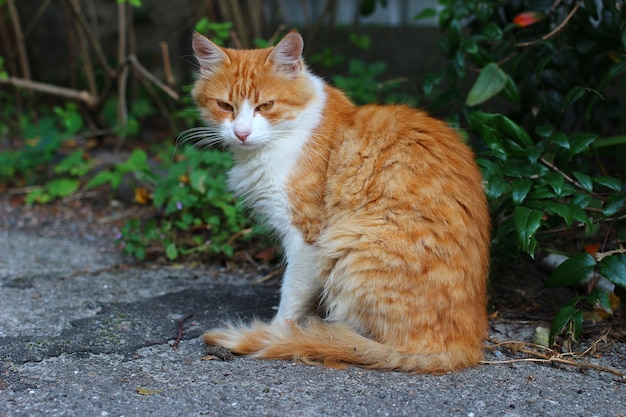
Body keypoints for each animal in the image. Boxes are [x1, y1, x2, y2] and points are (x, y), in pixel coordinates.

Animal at [188, 30, 490, 372]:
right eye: (225, 106)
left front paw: (278, 332)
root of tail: (467, 347)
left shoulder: (307, 237)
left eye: (266, 105)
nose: (241, 133)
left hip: (348, 243)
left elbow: (291, 295)